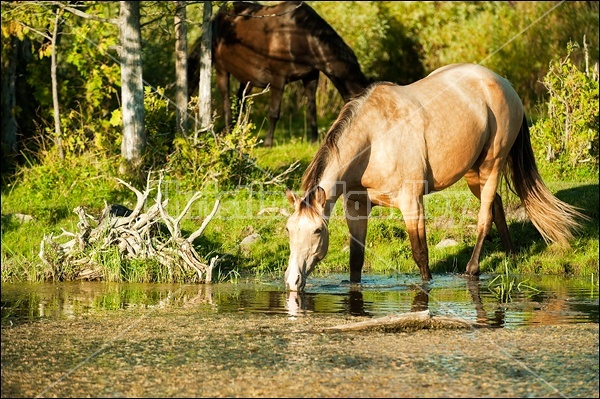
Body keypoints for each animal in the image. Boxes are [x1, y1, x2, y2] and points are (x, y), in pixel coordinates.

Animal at [188, 0, 368, 147]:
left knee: (240, 100)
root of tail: (216, 19)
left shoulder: (310, 77)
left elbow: (311, 110)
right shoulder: (278, 78)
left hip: (247, 78)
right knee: (226, 101)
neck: (300, 36)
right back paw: (228, 130)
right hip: (221, 69)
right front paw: (268, 142)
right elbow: (274, 112)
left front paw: (314, 140)